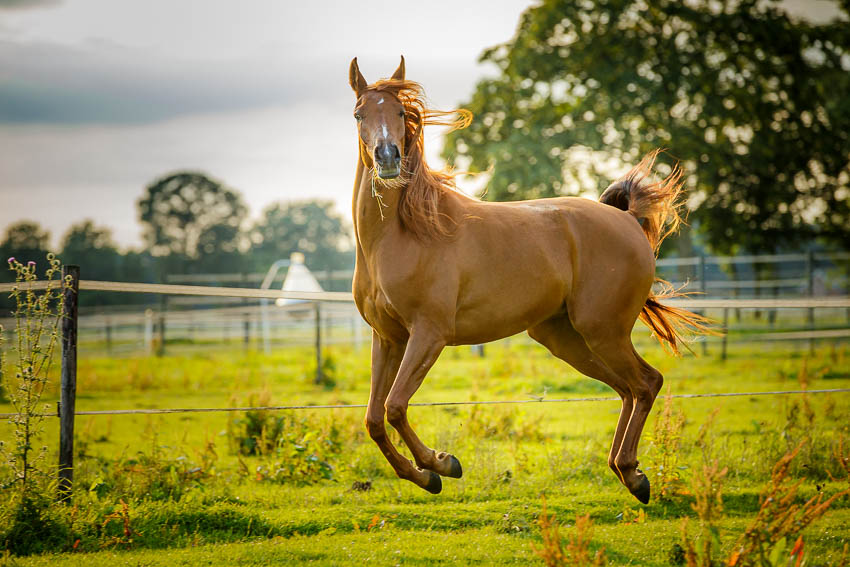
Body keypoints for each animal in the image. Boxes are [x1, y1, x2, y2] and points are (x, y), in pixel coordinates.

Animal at [346, 55, 708, 504]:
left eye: (400, 112)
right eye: (359, 113)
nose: (388, 157)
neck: (401, 234)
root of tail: (625, 219)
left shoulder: (429, 333)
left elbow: (395, 406)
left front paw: (442, 465)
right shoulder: (388, 338)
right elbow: (374, 419)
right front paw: (426, 476)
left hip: (602, 331)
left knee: (646, 383)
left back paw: (632, 475)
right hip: (566, 338)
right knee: (629, 388)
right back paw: (628, 472)